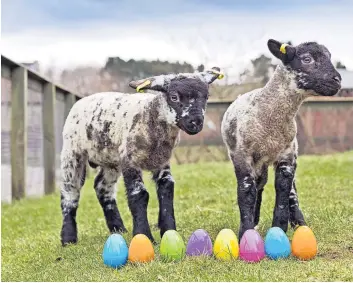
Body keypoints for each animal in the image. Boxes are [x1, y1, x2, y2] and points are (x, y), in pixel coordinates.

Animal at [59, 67, 221, 246]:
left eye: (206, 97)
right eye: (174, 96)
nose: (196, 122)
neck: (149, 114)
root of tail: (83, 100)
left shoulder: (161, 161)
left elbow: (166, 188)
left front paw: (169, 231)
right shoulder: (130, 160)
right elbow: (139, 195)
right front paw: (144, 235)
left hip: (111, 159)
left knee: (103, 187)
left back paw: (118, 228)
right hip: (72, 152)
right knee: (70, 191)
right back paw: (68, 238)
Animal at [221, 39, 340, 240]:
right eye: (307, 59)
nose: (338, 80)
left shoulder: (286, 155)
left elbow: (283, 188)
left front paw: (280, 227)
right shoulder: (242, 155)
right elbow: (246, 191)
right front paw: (245, 231)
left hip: (290, 154)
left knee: (291, 190)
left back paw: (300, 223)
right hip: (256, 160)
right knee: (258, 185)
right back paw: (255, 220)